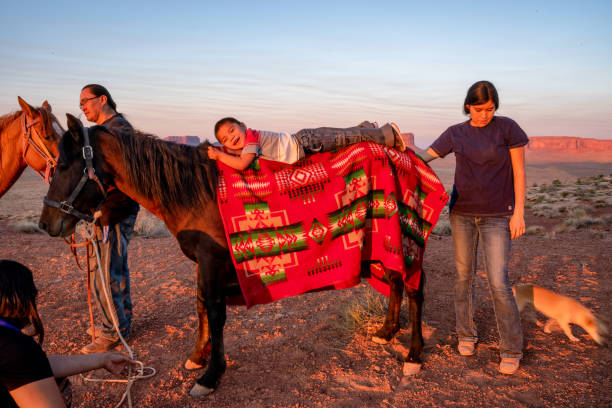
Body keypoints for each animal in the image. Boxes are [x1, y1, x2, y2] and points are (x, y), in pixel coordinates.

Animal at [39, 114, 426, 398]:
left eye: (63, 165)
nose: (46, 223)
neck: (192, 189)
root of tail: (407, 155)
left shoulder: (212, 260)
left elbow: (215, 312)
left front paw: (211, 375)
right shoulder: (203, 262)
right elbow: (200, 306)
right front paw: (197, 357)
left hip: (403, 237)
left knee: (414, 290)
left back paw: (414, 355)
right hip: (381, 243)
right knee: (396, 281)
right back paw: (387, 331)